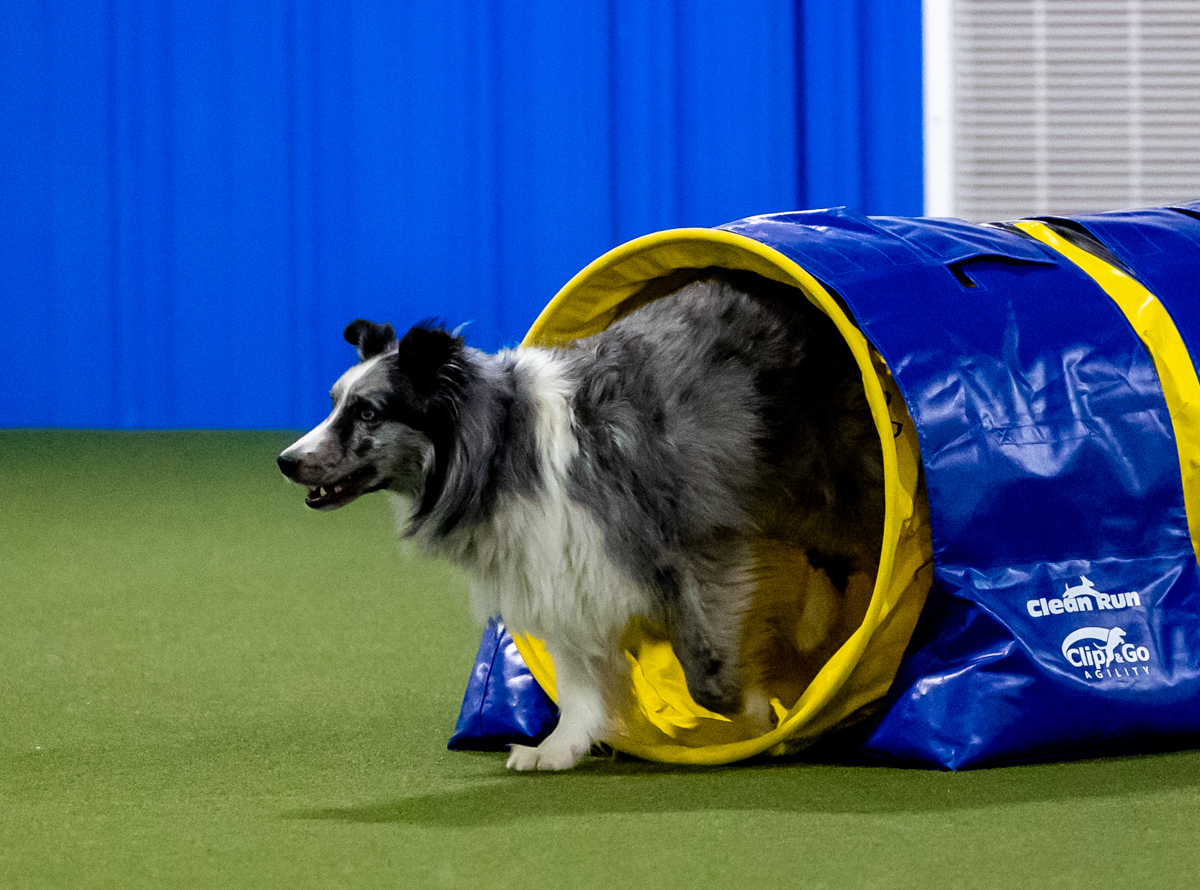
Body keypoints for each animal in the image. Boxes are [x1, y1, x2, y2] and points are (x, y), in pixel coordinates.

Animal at [277, 269, 884, 770]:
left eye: (367, 412)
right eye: (333, 402)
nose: (286, 461)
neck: (500, 448)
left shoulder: (687, 546)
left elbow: (704, 670)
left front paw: (758, 709)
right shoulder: (559, 561)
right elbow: (574, 673)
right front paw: (559, 747)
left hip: (822, 478)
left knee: (858, 538)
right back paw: (817, 623)